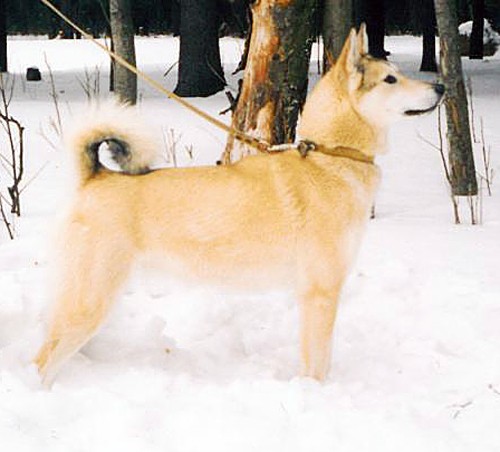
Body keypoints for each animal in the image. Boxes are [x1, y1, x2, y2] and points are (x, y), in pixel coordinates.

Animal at [34, 25, 444, 385]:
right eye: (390, 79)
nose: (440, 86)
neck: (331, 155)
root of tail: (95, 176)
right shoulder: (320, 292)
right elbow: (316, 364)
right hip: (90, 301)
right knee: (42, 361)